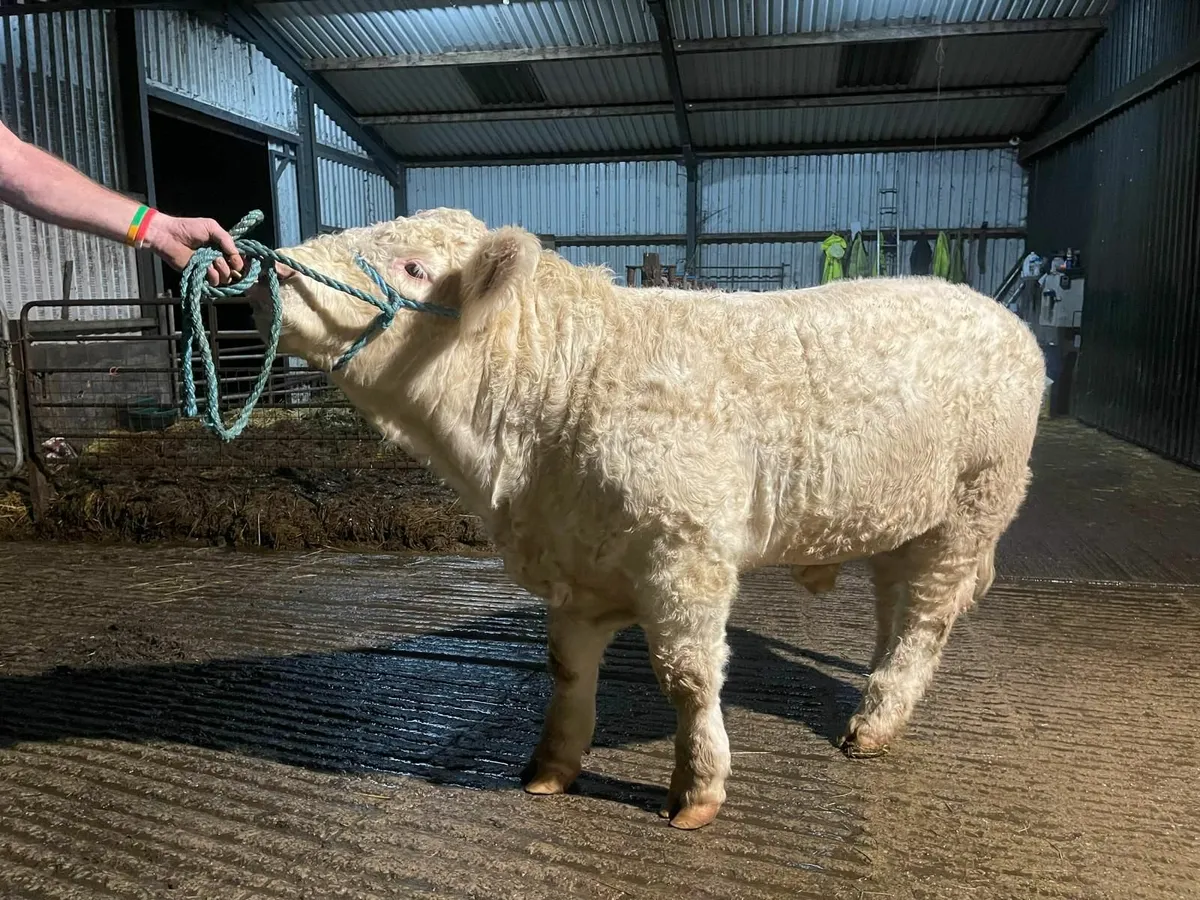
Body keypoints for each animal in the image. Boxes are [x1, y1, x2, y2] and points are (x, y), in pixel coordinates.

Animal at [248, 207, 1045, 830]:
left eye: (412, 267)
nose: (271, 272)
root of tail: (999, 313)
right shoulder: (577, 564)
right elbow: (568, 669)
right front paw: (550, 769)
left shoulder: (685, 552)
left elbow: (688, 677)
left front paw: (697, 789)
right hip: (904, 517)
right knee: (896, 607)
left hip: (971, 507)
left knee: (925, 621)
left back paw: (874, 724)